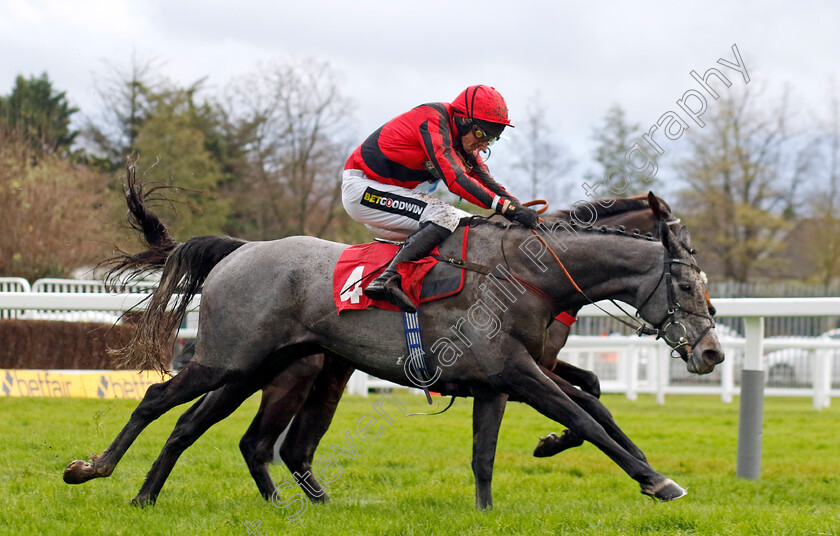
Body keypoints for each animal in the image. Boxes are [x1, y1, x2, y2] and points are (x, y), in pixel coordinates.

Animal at [64, 178, 720, 508]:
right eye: (687, 282)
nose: (711, 351)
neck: (530, 274)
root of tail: (241, 250)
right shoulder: (521, 372)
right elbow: (586, 415)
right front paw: (656, 480)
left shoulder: (507, 378)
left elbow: (503, 446)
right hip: (231, 361)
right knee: (163, 402)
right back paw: (97, 471)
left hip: (259, 369)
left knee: (222, 432)